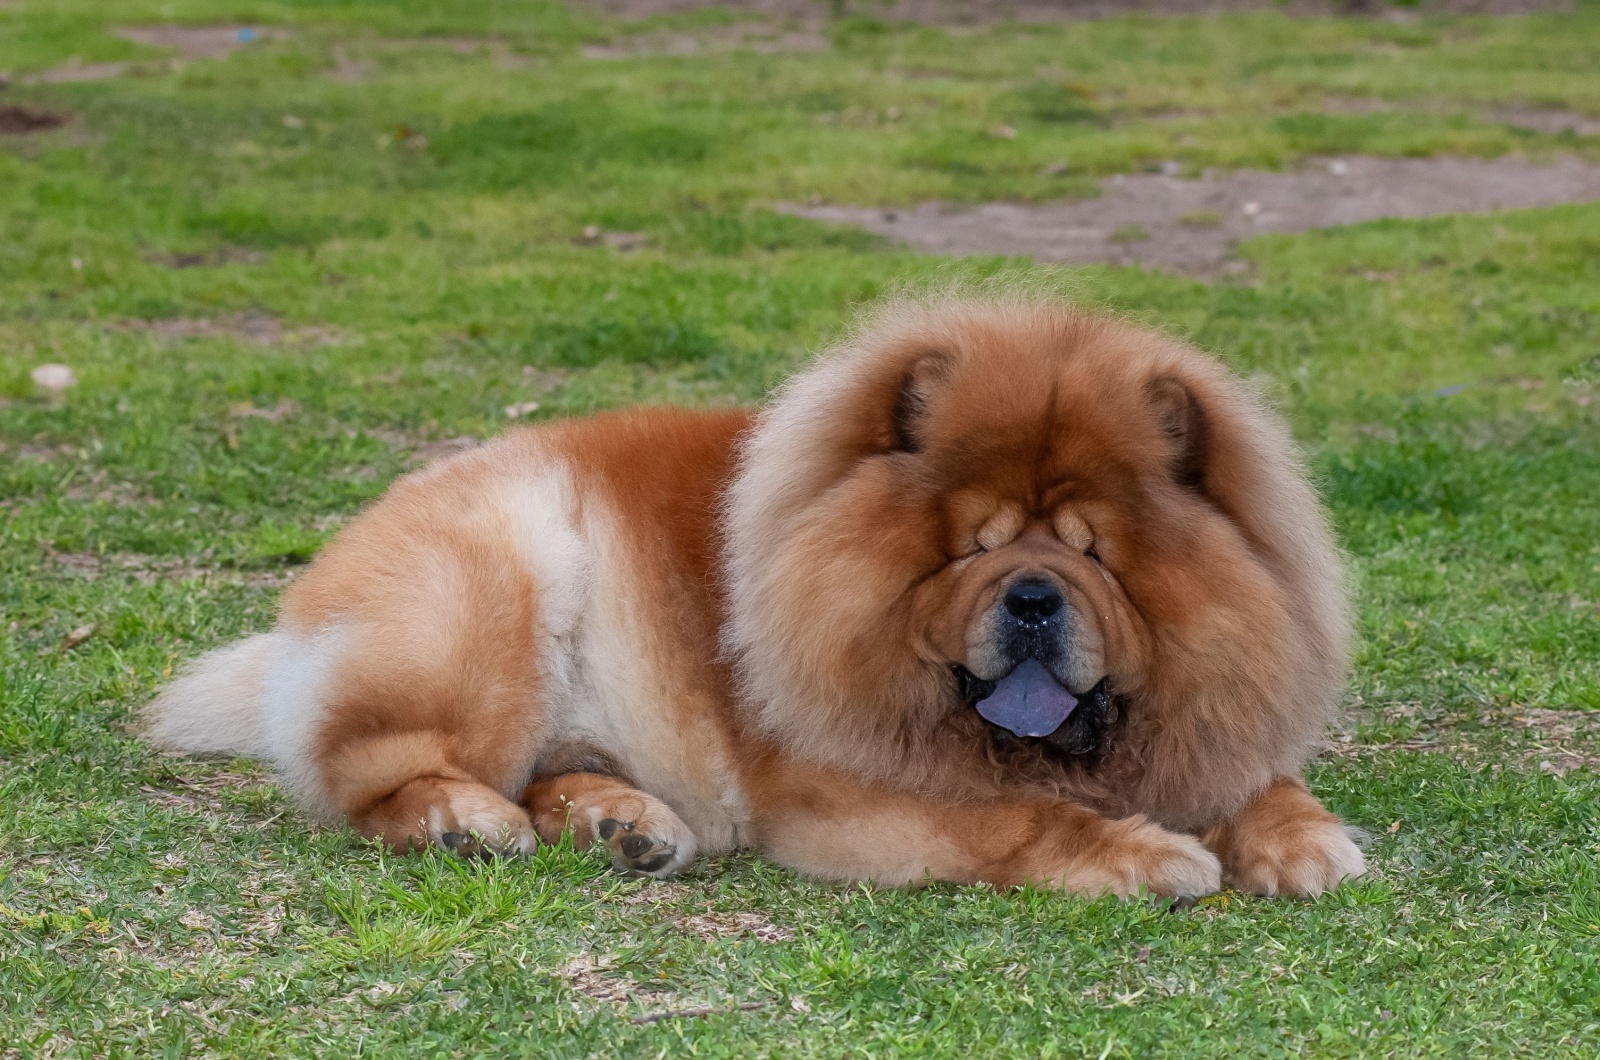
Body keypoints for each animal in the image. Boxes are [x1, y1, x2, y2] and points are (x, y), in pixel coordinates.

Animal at [147, 294, 1363, 903]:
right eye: (969, 549)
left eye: (1095, 557)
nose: (1028, 594)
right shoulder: (845, 791)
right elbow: (1015, 818)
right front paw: (1149, 855)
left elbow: (1260, 776)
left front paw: (1304, 838)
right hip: (488, 606)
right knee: (371, 769)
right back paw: (469, 823)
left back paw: (622, 825)